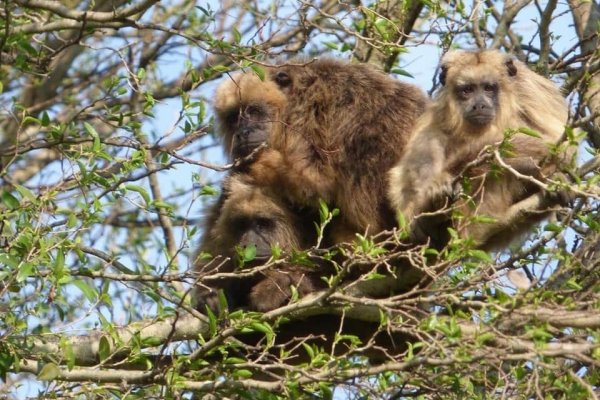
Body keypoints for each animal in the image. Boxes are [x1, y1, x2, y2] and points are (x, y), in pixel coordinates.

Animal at [386, 49, 568, 250]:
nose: (479, 105)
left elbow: (556, 145)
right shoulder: (440, 109)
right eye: (467, 90)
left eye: (488, 88)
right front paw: (435, 188)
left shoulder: (530, 89)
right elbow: (410, 166)